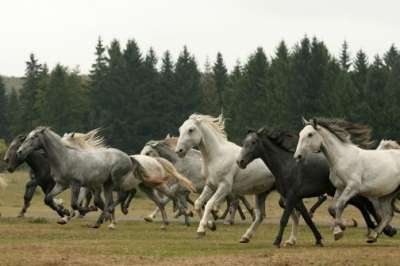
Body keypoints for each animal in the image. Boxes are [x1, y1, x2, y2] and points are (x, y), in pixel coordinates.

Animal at [176, 113, 278, 242]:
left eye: (190, 130)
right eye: (180, 129)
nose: (179, 151)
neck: (217, 156)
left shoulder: (224, 186)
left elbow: (209, 204)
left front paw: (202, 229)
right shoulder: (210, 185)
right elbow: (198, 203)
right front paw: (210, 225)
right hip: (262, 193)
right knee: (262, 215)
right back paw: (246, 237)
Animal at [236, 128, 396, 246]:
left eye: (254, 142)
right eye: (244, 142)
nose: (240, 161)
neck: (286, 166)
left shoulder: (291, 196)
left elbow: (284, 219)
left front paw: (277, 241)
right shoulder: (295, 198)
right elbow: (307, 218)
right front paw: (318, 239)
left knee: (364, 205)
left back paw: (377, 230)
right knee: (363, 206)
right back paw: (378, 230)